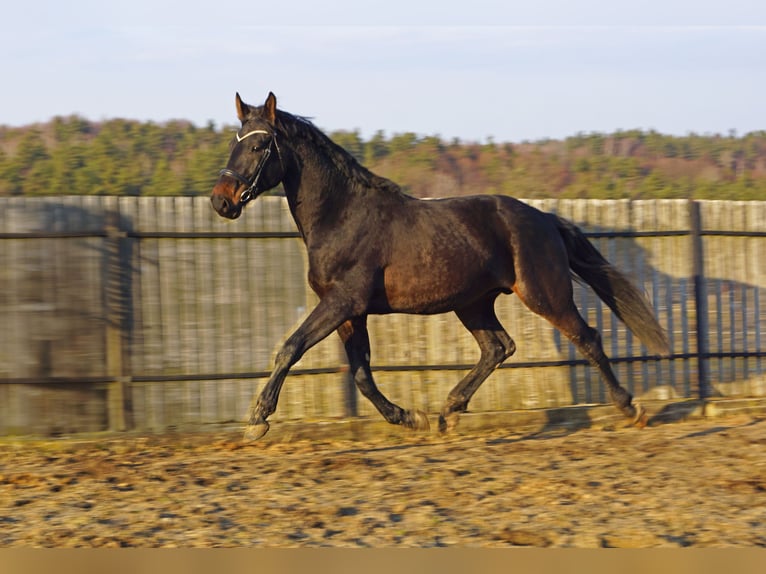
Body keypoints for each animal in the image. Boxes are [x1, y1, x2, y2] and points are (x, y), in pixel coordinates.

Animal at [210, 92, 669, 441]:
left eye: (258, 146)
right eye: (234, 142)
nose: (221, 200)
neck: (342, 216)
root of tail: (544, 219)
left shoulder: (343, 302)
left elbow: (291, 347)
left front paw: (258, 419)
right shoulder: (351, 313)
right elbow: (361, 374)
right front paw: (411, 417)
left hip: (544, 294)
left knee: (586, 338)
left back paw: (631, 408)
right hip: (473, 303)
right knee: (499, 347)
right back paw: (448, 410)